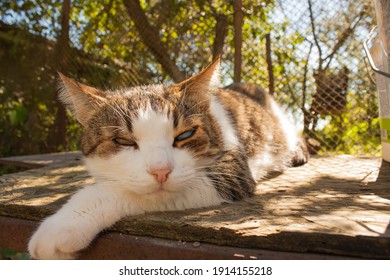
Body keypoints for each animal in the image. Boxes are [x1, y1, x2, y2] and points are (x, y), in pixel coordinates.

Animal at [27, 57, 308, 260]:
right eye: (124, 142)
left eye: (185, 134)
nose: (161, 171)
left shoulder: (231, 169)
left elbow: (128, 191)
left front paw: (66, 222)